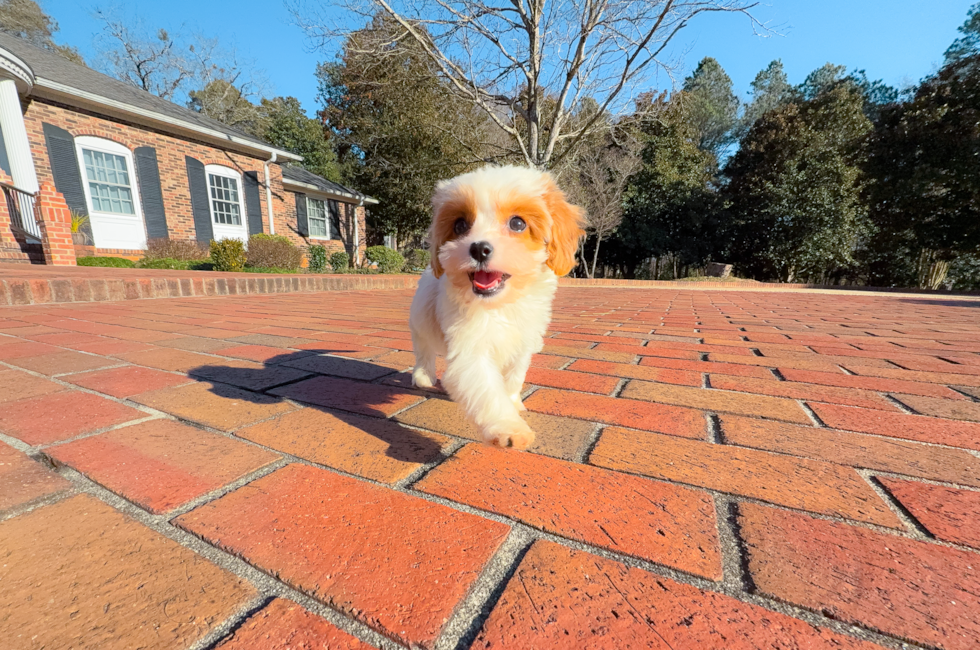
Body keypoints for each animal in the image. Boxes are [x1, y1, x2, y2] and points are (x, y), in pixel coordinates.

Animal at [410, 165, 584, 448]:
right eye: (460, 225)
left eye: (517, 223)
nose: (479, 248)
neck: (500, 305)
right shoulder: (470, 349)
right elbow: (487, 391)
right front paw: (509, 427)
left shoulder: (522, 342)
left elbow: (513, 377)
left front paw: (513, 403)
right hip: (421, 318)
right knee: (423, 348)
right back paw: (423, 375)